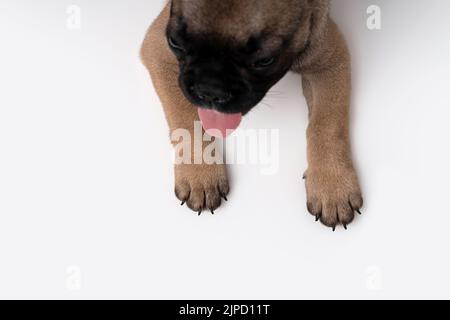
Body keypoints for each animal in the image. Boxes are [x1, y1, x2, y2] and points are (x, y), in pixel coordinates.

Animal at [140, 0, 362, 230]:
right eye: (174, 43)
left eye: (265, 61)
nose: (209, 89)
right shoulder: (158, 51)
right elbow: (186, 123)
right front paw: (200, 172)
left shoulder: (327, 62)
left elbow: (326, 125)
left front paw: (333, 184)